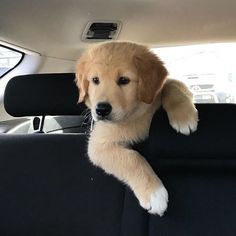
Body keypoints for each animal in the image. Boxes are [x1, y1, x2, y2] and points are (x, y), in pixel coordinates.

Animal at [75, 42, 197, 216]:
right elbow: (133, 158)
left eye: (124, 80)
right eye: (95, 80)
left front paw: (183, 116)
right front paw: (154, 193)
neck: (135, 115)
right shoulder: (98, 145)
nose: (101, 110)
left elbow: (171, 85)